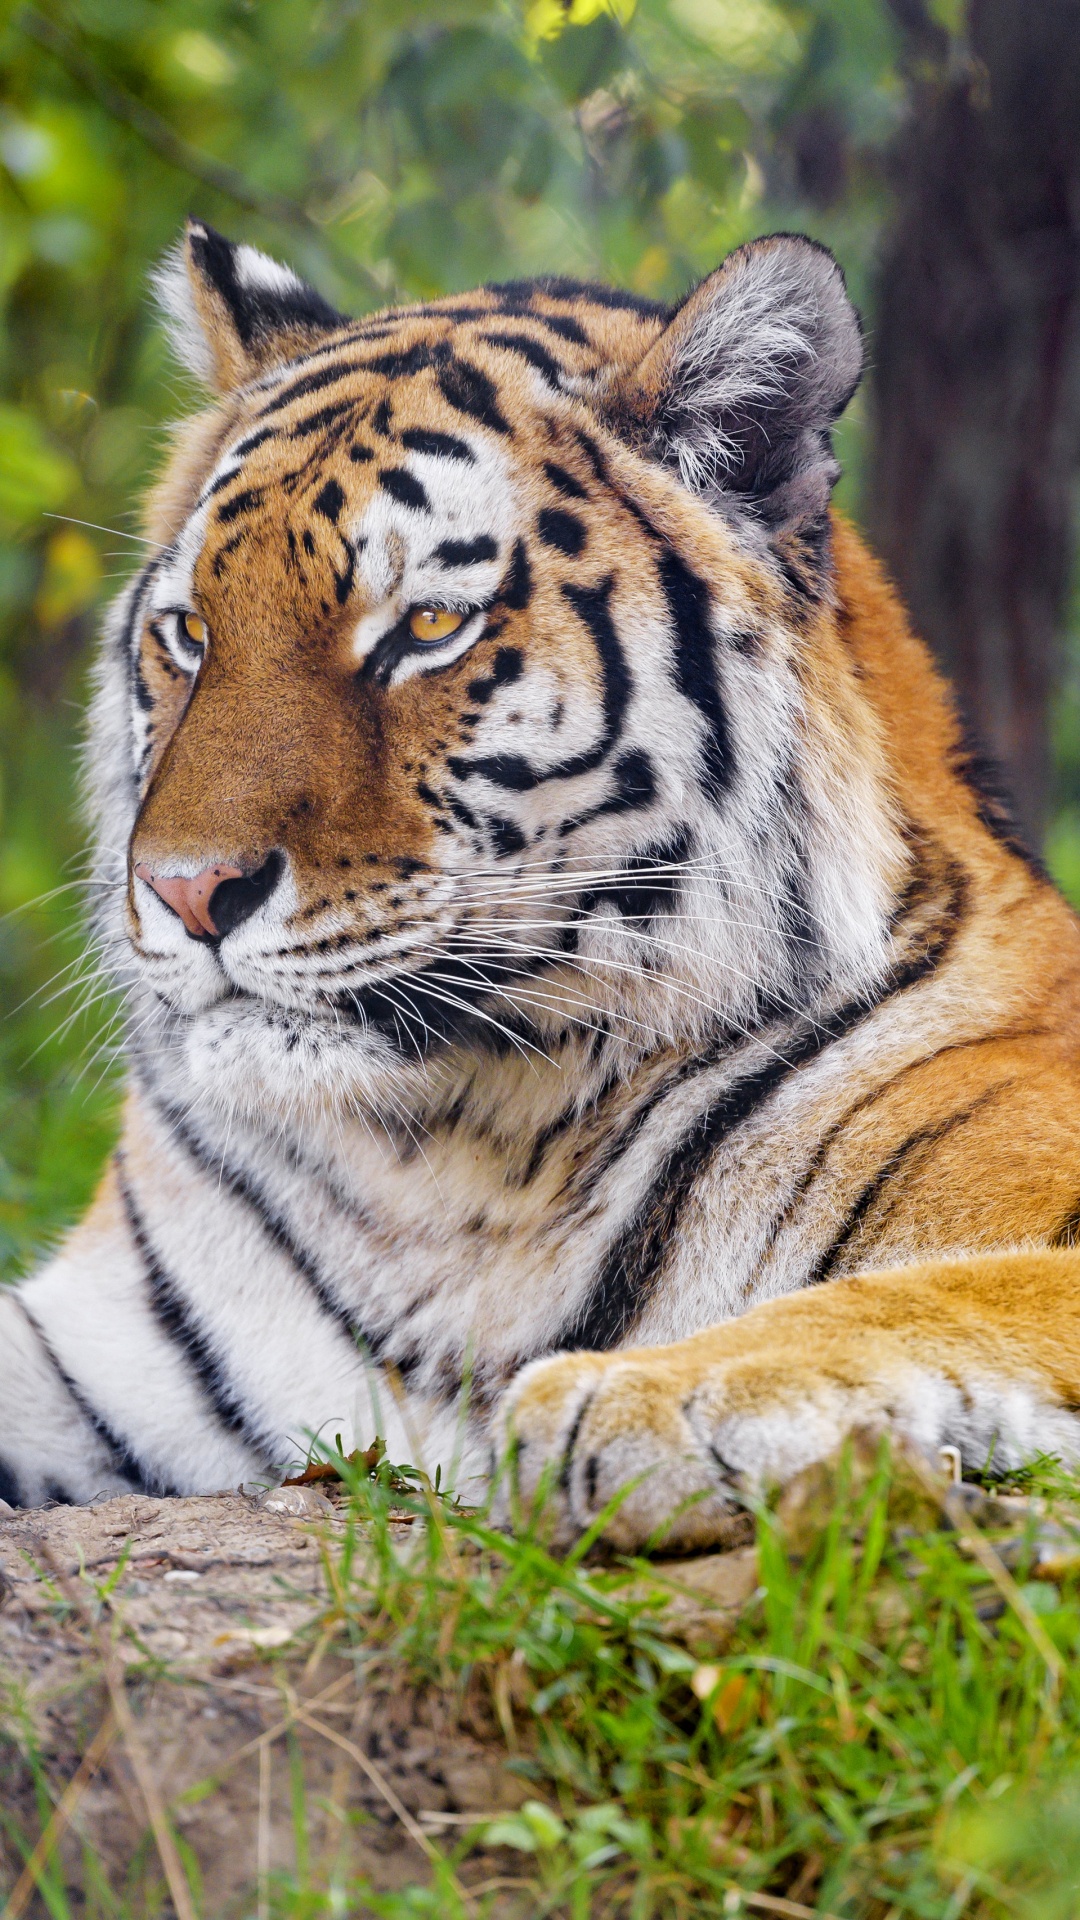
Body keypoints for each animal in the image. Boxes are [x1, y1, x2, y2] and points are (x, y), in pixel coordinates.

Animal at [3, 216, 1080, 1553]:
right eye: (192, 632)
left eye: (426, 627)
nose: (186, 891)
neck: (455, 1166)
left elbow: (937, 1290)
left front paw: (648, 1395)